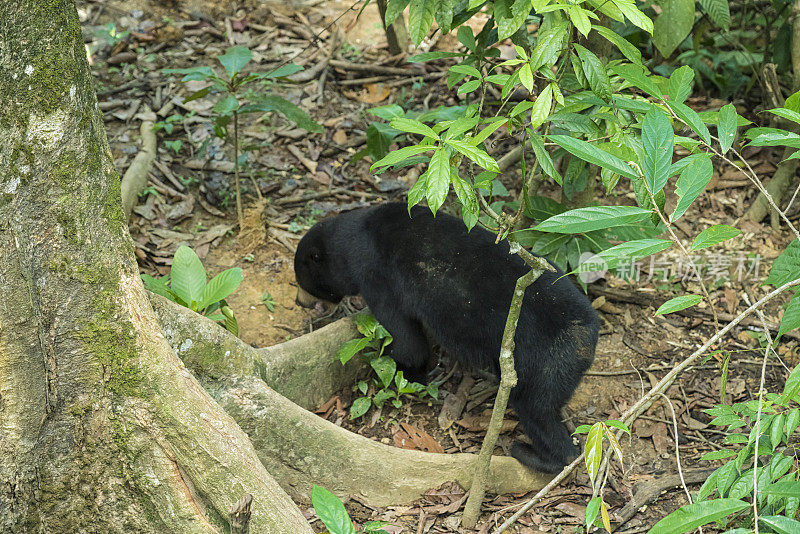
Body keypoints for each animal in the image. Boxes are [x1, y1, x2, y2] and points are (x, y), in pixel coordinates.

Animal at [294, 202, 592, 474]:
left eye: (301, 280)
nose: (299, 302)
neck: (359, 236)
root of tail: (587, 336)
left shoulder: (379, 279)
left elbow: (406, 341)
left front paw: (408, 377)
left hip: (546, 359)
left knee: (536, 410)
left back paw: (534, 454)